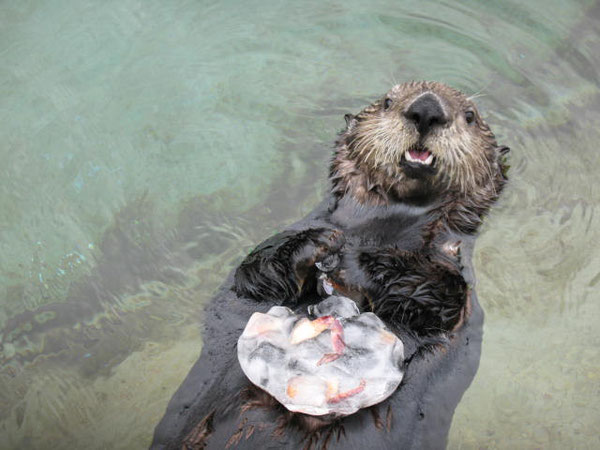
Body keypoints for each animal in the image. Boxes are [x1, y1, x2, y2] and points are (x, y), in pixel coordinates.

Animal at [152, 81, 508, 450]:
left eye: (470, 116)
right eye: (388, 101)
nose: (426, 110)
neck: (391, 223)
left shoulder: (453, 278)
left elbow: (439, 295)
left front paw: (355, 260)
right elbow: (252, 274)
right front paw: (321, 242)